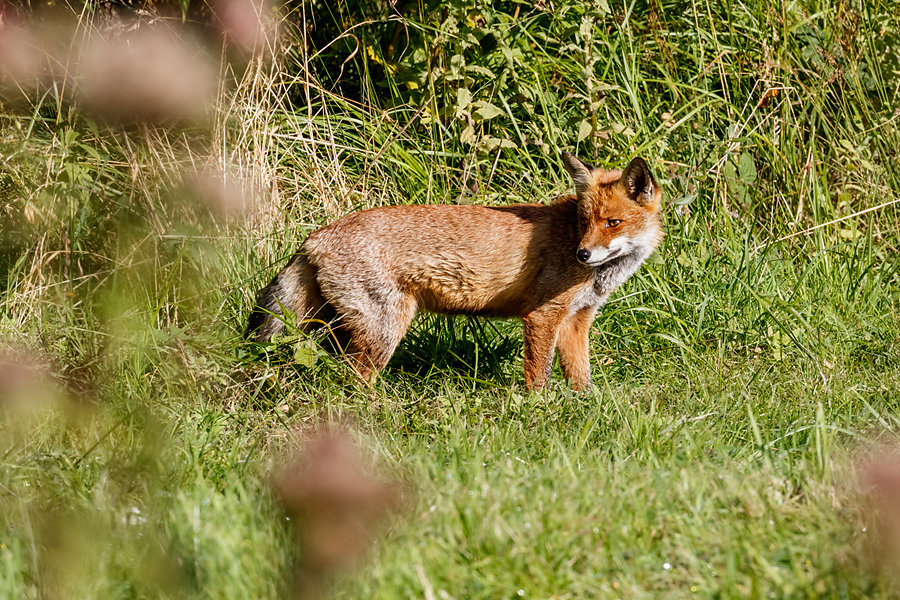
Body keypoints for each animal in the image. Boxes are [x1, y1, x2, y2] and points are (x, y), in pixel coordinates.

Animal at [246, 152, 660, 392]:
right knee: (352, 380)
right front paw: (537, 411)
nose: (583, 254)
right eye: (584, 221)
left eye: (613, 223)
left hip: (340, 326)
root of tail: (314, 237)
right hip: (383, 331)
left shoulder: (577, 319)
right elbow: (538, 376)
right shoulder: (542, 316)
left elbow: (580, 378)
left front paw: (580, 409)